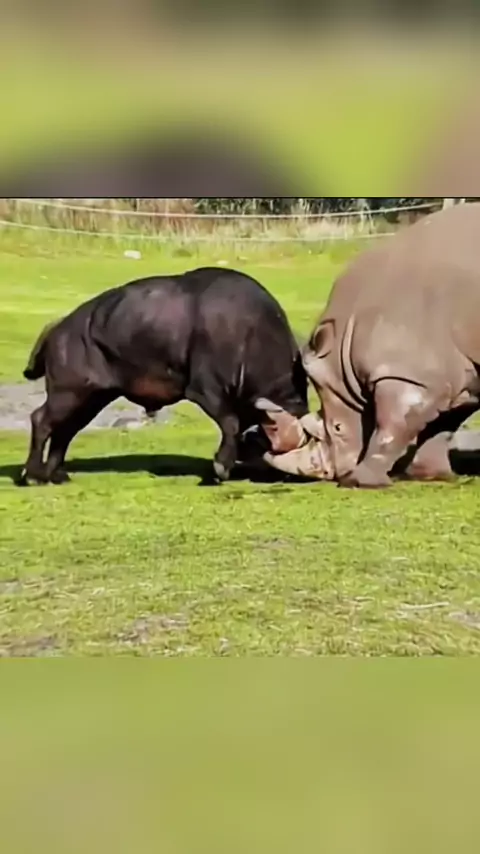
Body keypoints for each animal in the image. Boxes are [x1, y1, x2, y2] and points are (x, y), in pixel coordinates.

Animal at [301, 201, 480, 488]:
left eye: (338, 428)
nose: (336, 474)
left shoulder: (407, 370)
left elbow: (394, 424)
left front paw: (359, 481)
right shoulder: (451, 368)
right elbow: (444, 421)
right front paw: (430, 476)